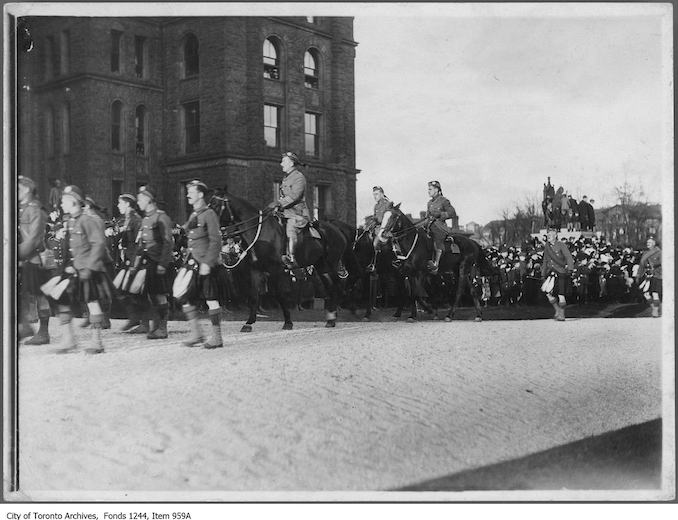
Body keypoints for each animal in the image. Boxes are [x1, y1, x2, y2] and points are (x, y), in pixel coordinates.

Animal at [211, 191, 362, 330]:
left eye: (216, 205)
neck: (260, 232)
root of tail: (337, 229)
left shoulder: (276, 270)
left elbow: (281, 295)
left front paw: (288, 323)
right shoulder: (256, 269)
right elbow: (254, 296)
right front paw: (248, 323)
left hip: (331, 264)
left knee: (338, 286)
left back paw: (336, 316)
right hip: (322, 267)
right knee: (332, 287)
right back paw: (331, 317)